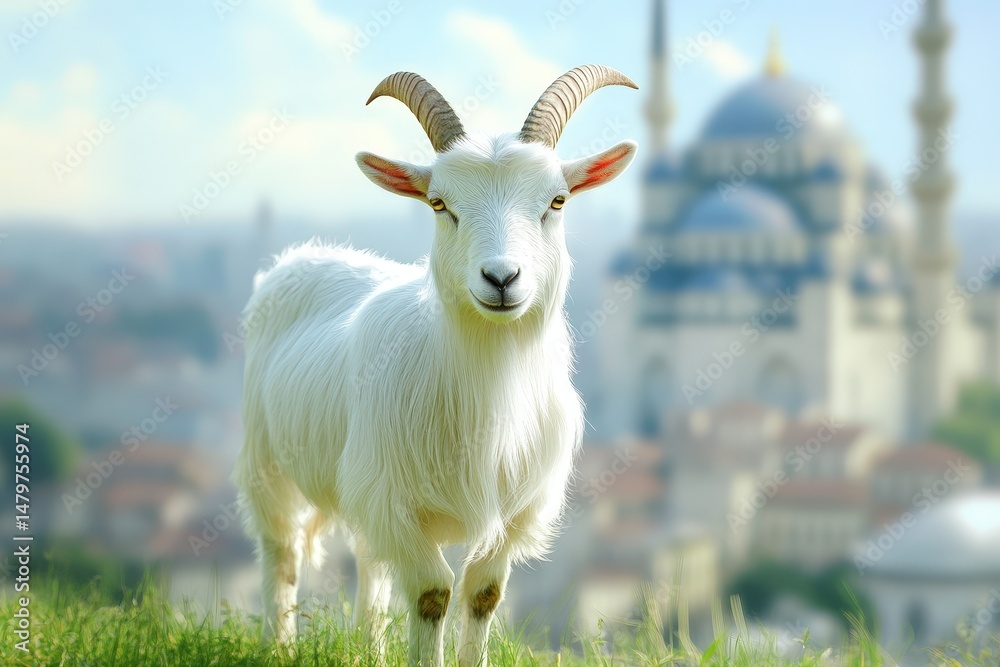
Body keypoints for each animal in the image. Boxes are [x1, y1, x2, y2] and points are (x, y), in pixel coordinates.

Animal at [233, 65, 638, 666]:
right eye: (439, 204)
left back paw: (370, 648)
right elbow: (431, 594)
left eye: (558, 201)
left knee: (370, 563)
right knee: (281, 551)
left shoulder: (512, 513)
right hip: (269, 460)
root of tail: (301, 256)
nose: (501, 278)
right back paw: (279, 645)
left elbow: (482, 594)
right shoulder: (396, 503)